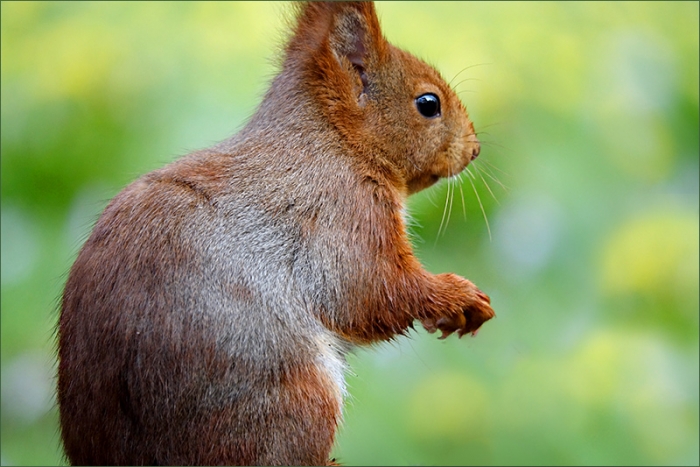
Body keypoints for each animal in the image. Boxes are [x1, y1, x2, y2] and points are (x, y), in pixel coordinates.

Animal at [57, 2, 495, 465]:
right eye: (428, 103)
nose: (474, 149)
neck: (335, 141)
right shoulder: (341, 211)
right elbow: (369, 291)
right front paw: (459, 297)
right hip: (296, 396)